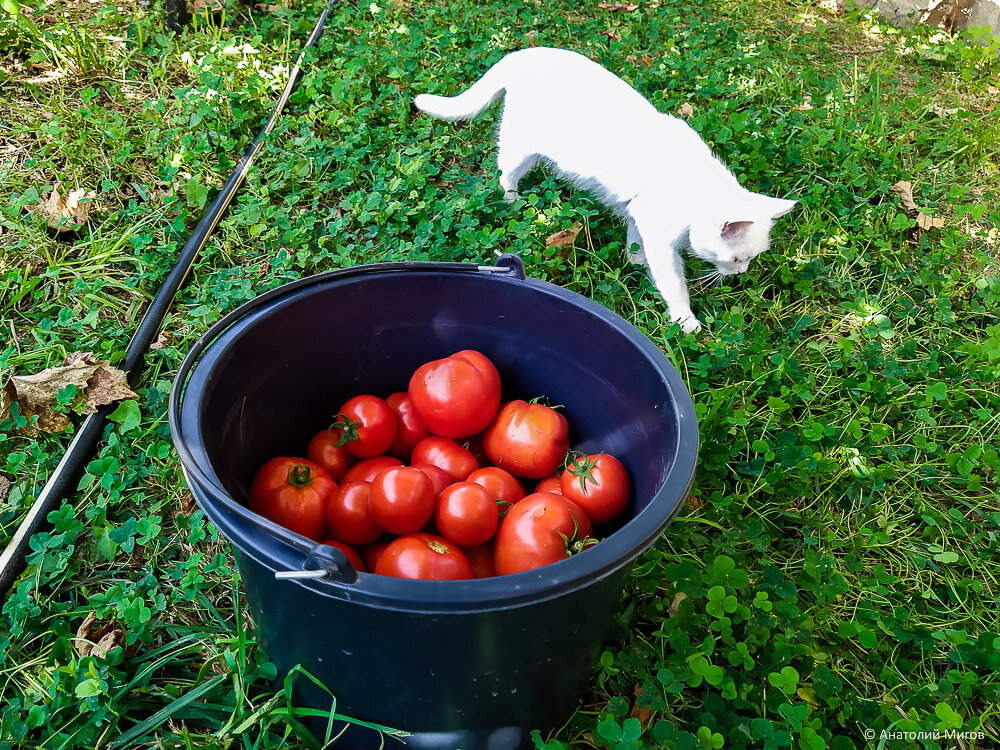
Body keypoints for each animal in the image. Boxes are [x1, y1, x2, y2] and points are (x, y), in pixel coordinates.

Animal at [414, 45, 796, 330]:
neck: (693, 188)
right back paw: (513, 202)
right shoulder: (661, 236)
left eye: (749, 260)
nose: (741, 273)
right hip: (519, 149)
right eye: (737, 259)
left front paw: (635, 261)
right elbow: (674, 284)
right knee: (505, 176)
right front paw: (685, 320)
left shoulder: (639, 214)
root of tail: (527, 52)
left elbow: (636, 241)